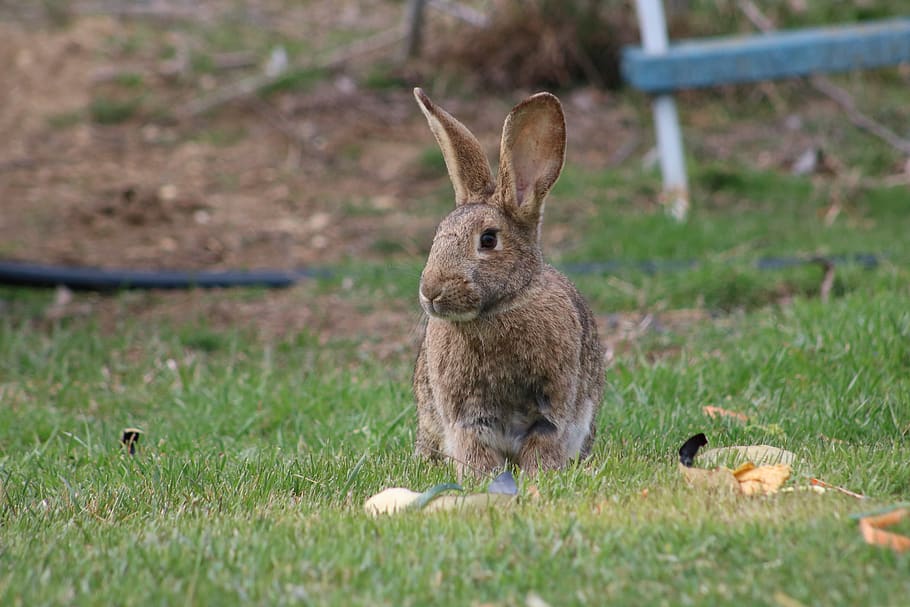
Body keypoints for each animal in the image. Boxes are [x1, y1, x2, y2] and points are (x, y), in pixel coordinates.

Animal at [411, 87, 605, 479]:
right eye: (438, 235)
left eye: (488, 240)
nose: (431, 291)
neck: (500, 309)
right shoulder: (466, 418)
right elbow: (474, 449)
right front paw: (483, 479)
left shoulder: (551, 409)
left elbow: (543, 441)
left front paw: (538, 476)